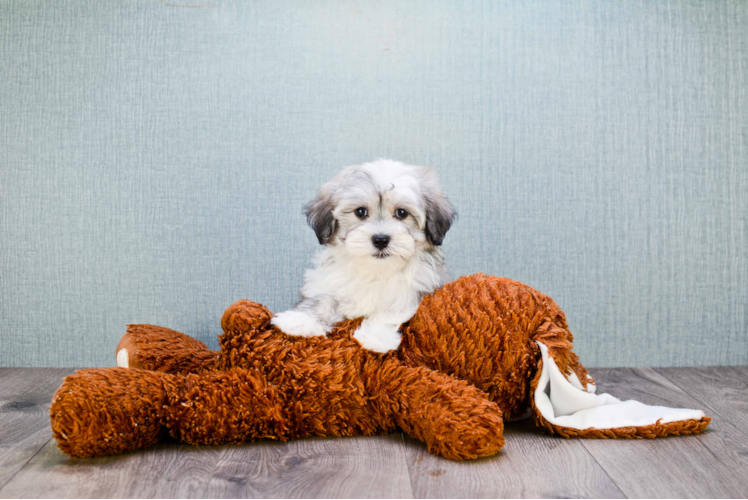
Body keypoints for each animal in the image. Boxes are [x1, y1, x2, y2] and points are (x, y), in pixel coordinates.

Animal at [268, 159, 456, 352]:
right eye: (360, 212)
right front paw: (299, 320)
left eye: (402, 213)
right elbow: (322, 298)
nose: (380, 239)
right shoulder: (327, 281)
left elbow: (391, 309)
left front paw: (375, 337)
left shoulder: (418, 289)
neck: (375, 270)